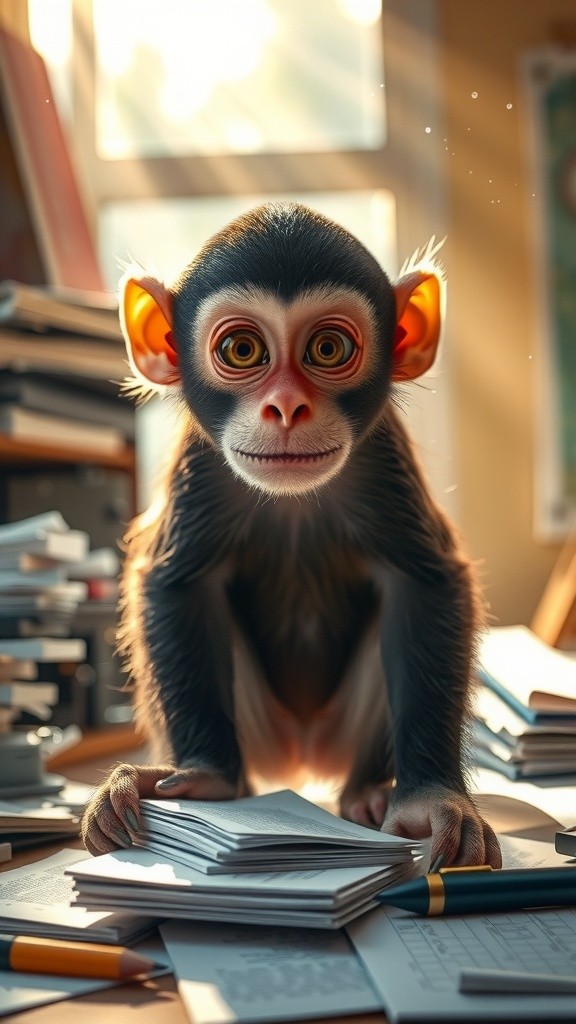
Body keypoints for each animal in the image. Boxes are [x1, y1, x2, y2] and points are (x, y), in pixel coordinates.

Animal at [81, 201, 501, 869]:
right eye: (242, 349)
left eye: (328, 348)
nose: (286, 407)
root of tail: (302, 760)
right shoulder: (201, 467)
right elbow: (179, 584)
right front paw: (203, 777)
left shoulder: (383, 457)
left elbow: (425, 584)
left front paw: (429, 798)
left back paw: (365, 791)